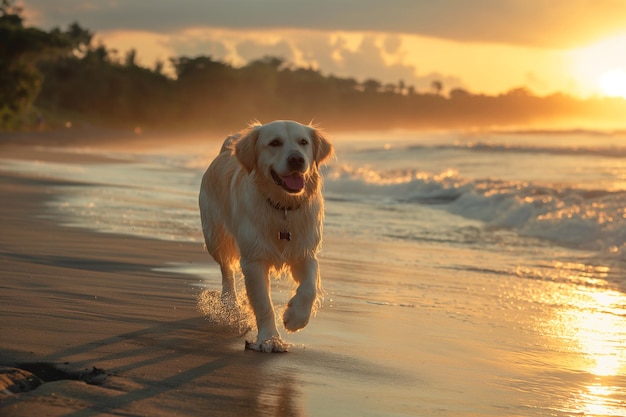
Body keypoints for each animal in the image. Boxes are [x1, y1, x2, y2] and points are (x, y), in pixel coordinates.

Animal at [199, 120, 332, 352]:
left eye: (303, 142)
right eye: (275, 143)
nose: (297, 159)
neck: (283, 207)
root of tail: (226, 150)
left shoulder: (305, 251)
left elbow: (310, 286)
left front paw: (295, 317)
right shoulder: (254, 259)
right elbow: (263, 304)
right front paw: (270, 340)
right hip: (215, 237)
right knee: (226, 269)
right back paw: (230, 304)